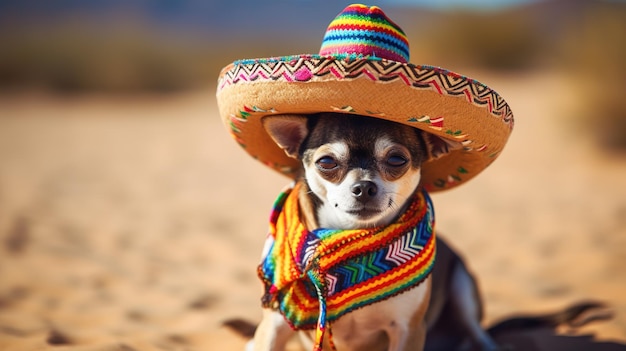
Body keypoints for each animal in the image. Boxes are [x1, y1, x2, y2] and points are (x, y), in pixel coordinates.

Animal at [230, 113, 604, 351]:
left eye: (397, 160)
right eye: (326, 163)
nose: (364, 187)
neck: (351, 242)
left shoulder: (407, 330)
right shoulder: (275, 326)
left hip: (463, 285)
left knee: (480, 334)